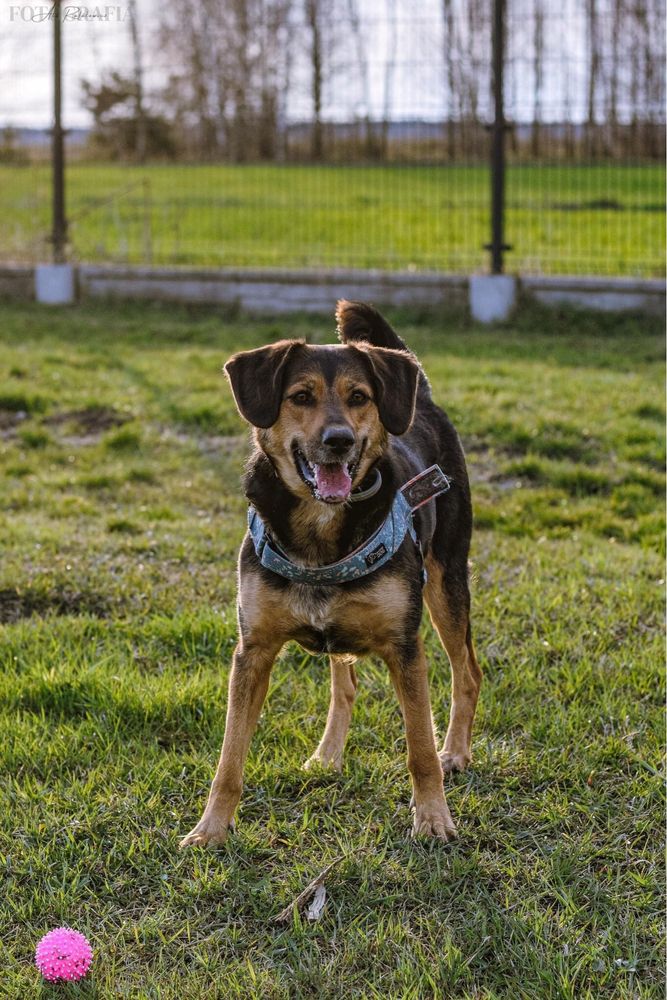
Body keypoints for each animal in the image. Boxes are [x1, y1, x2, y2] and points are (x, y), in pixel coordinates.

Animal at [179, 300, 480, 848]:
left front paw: (433, 818)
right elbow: (229, 759)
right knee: (346, 683)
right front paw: (210, 829)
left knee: (467, 672)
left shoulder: (405, 646)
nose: (337, 440)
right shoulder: (252, 650)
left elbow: (419, 749)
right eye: (301, 397)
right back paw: (328, 755)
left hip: (447, 581)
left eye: (359, 397)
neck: (322, 529)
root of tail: (421, 396)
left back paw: (456, 751)